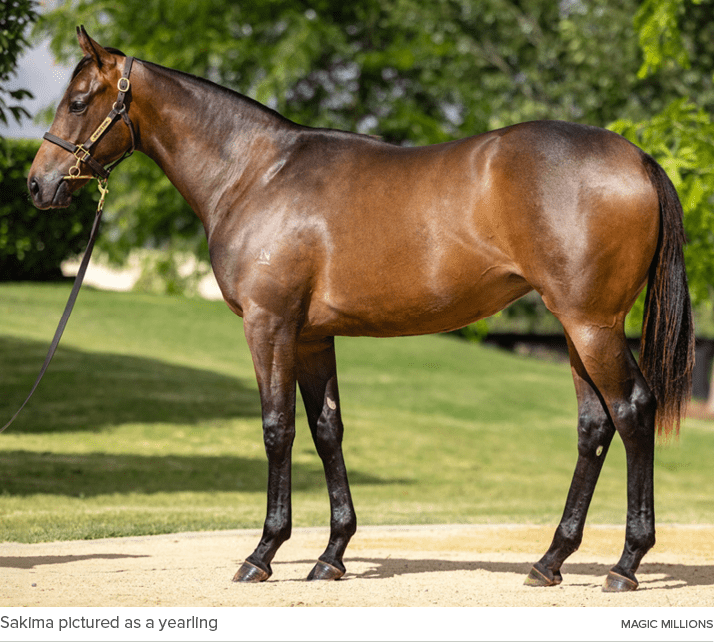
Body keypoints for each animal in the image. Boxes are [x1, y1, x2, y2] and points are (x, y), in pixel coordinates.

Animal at [26, 30, 688, 592]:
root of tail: (636, 158)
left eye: (79, 101)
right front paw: (331, 555)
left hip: (592, 326)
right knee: (594, 427)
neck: (256, 173)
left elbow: (277, 430)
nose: (37, 184)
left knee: (633, 411)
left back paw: (626, 564)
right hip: (576, 328)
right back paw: (550, 560)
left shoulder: (269, 325)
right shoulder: (312, 337)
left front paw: (262, 554)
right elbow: (327, 431)